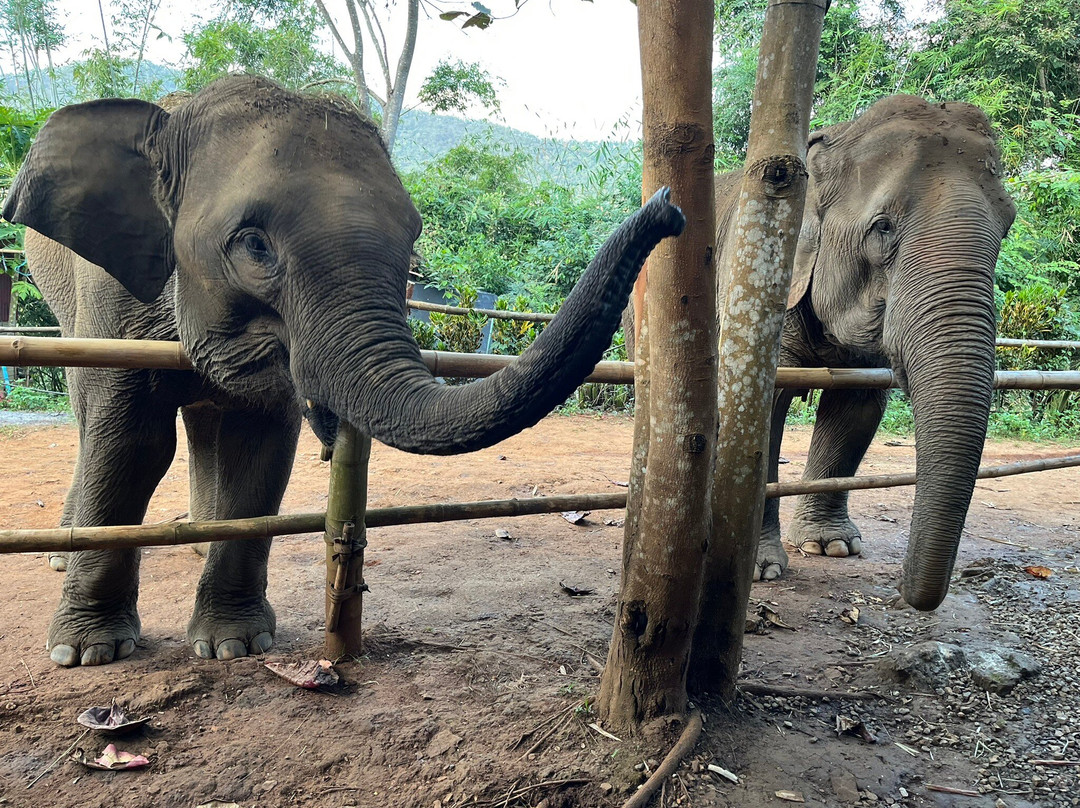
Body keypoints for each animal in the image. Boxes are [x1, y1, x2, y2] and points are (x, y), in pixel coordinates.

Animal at [3, 75, 685, 667]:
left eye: (413, 236)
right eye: (254, 245)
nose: (669, 207)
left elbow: (260, 446)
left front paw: (234, 646)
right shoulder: (110, 293)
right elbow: (132, 443)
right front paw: (86, 654)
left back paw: (195, 536)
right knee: (92, 413)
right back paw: (67, 552)